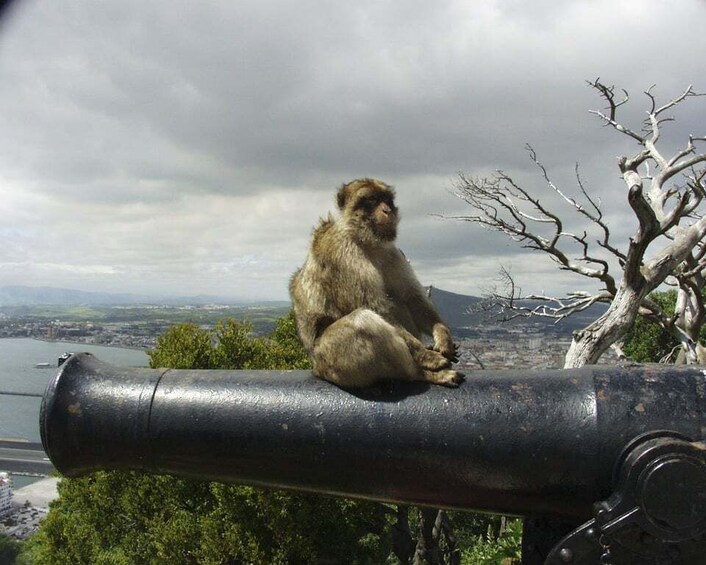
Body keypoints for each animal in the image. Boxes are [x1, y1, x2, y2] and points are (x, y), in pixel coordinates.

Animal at [288, 177, 462, 388]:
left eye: (387, 199)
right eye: (371, 200)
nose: (387, 210)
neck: (366, 241)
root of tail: (316, 369)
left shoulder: (392, 253)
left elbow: (412, 297)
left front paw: (443, 338)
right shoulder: (343, 252)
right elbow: (375, 306)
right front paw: (427, 356)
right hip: (331, 362)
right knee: (362, 321)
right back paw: (421, 373)